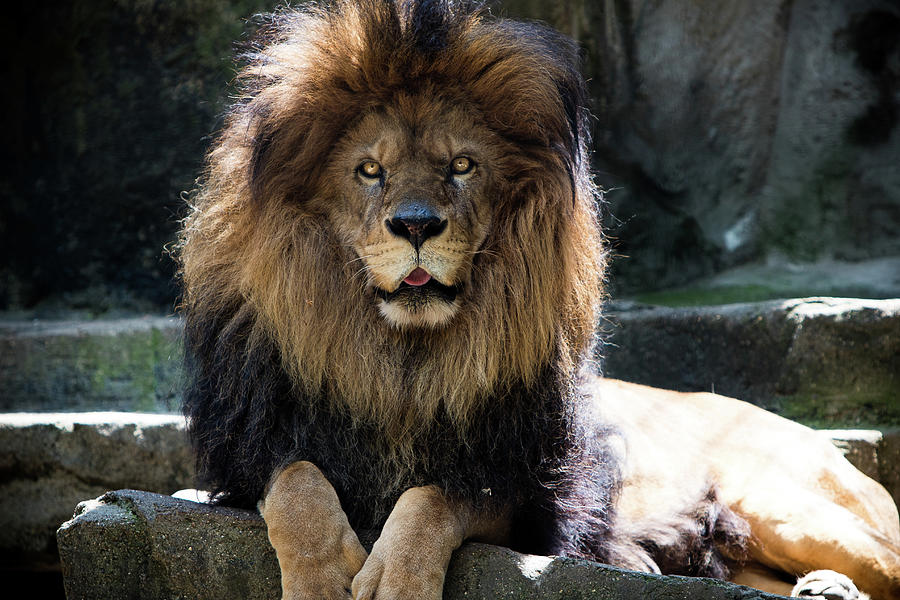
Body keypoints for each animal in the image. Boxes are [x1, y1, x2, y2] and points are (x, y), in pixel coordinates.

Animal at [176, 1, 900, 600]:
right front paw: (321, 579)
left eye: (462, 166)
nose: (416, 225)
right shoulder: (249, 457)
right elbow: (296, 483)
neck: (401, 366)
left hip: (784, 505)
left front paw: (398, 580)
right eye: (369, 171)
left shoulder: (530, 495)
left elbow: (436, 497)